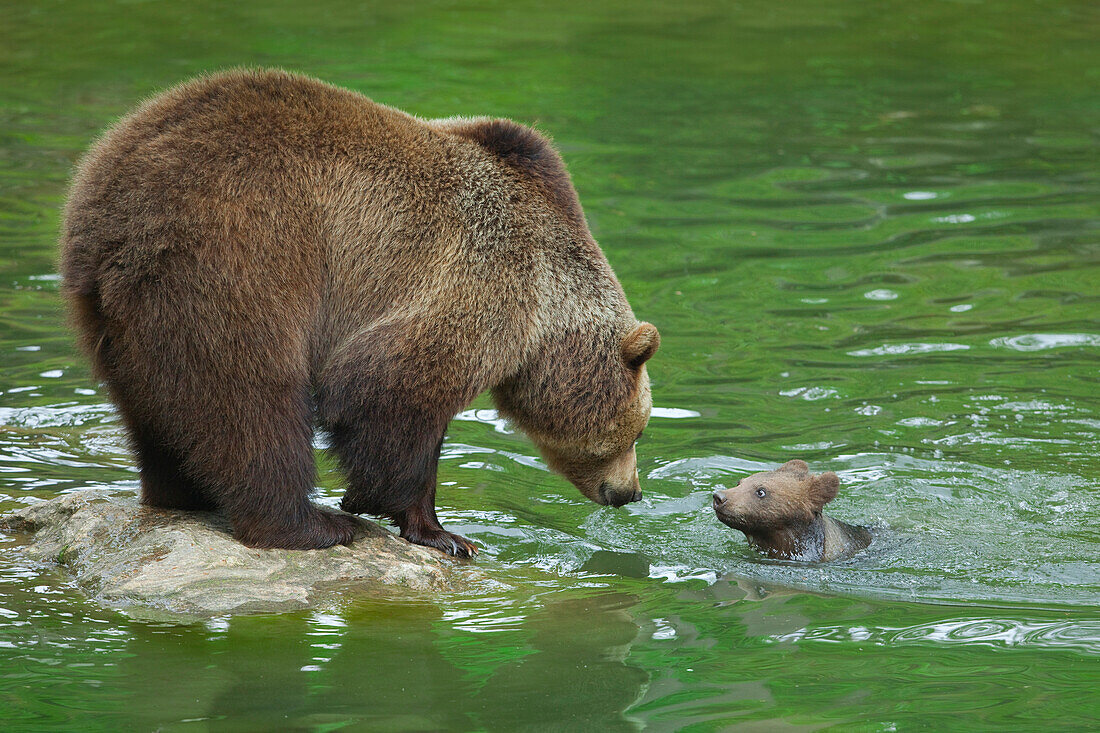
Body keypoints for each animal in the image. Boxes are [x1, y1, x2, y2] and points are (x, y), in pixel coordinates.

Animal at [60, 71, 655, 556]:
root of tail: (107, 209)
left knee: (154, 407)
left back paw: (181, 493)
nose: (629, 492)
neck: (544, 320)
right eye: (639, 430)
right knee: (251, 399)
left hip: (114, 315)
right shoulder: (476, 280)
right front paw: (436, 530)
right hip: (238, 256)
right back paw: (306, 525)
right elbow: (384, 392)